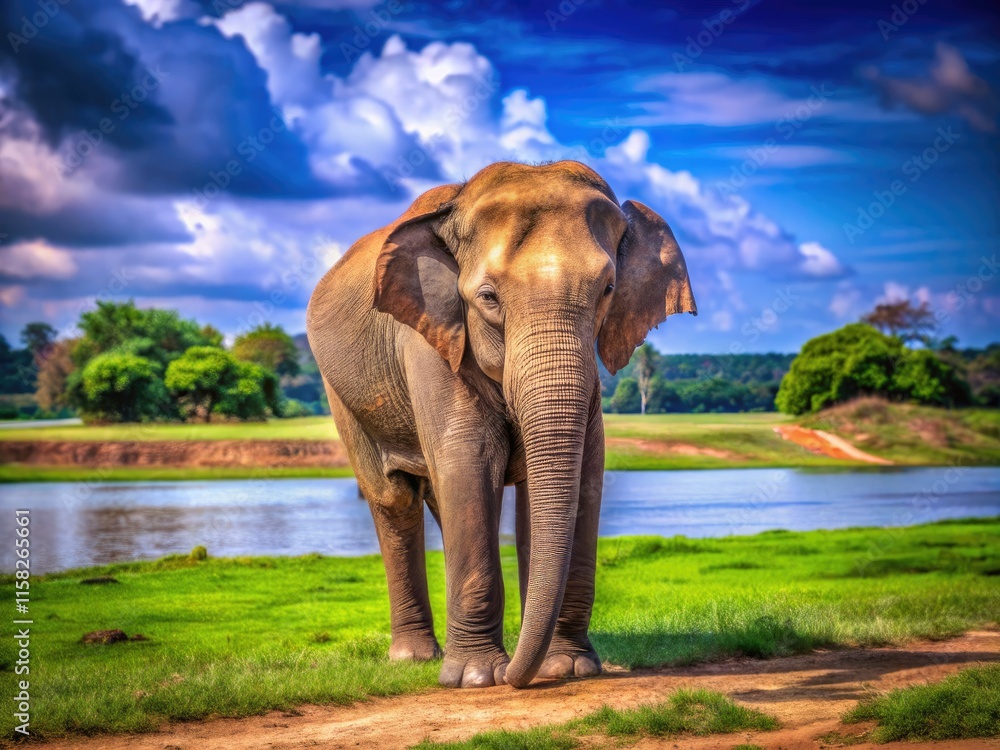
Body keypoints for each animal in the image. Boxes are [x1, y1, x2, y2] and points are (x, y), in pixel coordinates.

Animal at [306, 160, 695, 689]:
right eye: (488, 297)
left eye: (609, 290)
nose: (517, 674)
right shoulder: (430, 340)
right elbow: (469, 462)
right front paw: (476, 678)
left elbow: (581, 476)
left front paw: (568, 667)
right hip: (341, 393)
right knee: (394, 498)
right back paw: (415, 659)